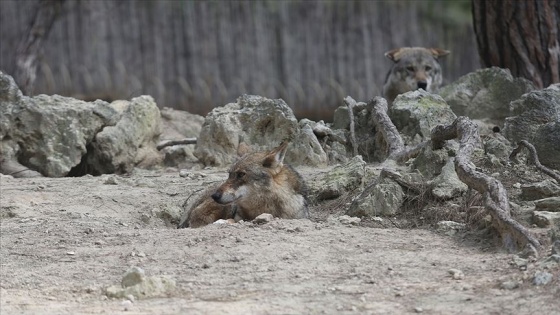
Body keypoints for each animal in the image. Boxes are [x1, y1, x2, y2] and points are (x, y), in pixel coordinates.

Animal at [177, 142, 308, 228]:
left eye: (241, 174)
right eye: (229, 174)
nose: (215, 196)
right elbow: (234, 220)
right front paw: (223, 222)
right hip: (228, 206)